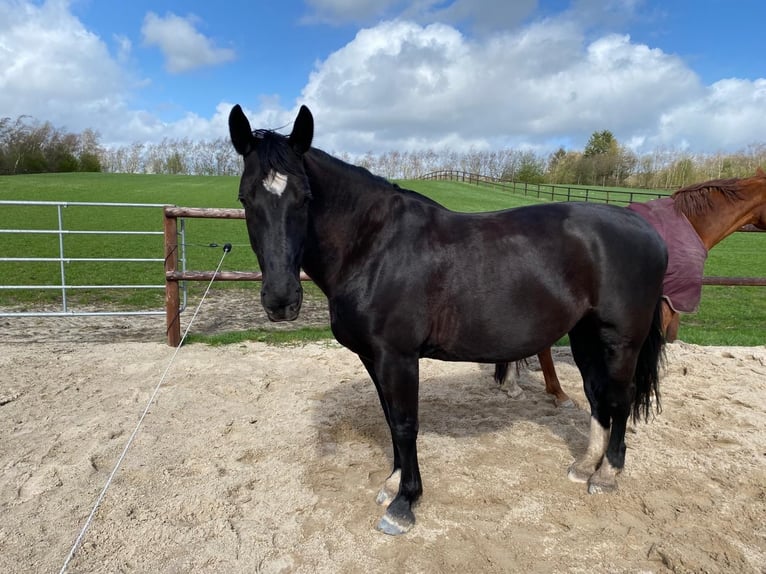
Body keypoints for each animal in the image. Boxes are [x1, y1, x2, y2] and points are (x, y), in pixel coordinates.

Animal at [226, 106, 664, 536]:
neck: (373, 247)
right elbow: (390, 419)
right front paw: (392, 484)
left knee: (620, 398)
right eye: (246, 198)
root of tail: (647, 230)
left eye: (305, 198)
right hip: (585, 335)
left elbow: (405, 424)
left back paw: (607, 474)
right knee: (597, 395)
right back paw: (585, 466)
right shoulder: (374, 357)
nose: (281, 300)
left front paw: (404, 503)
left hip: (620, 340)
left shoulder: (398, 357)